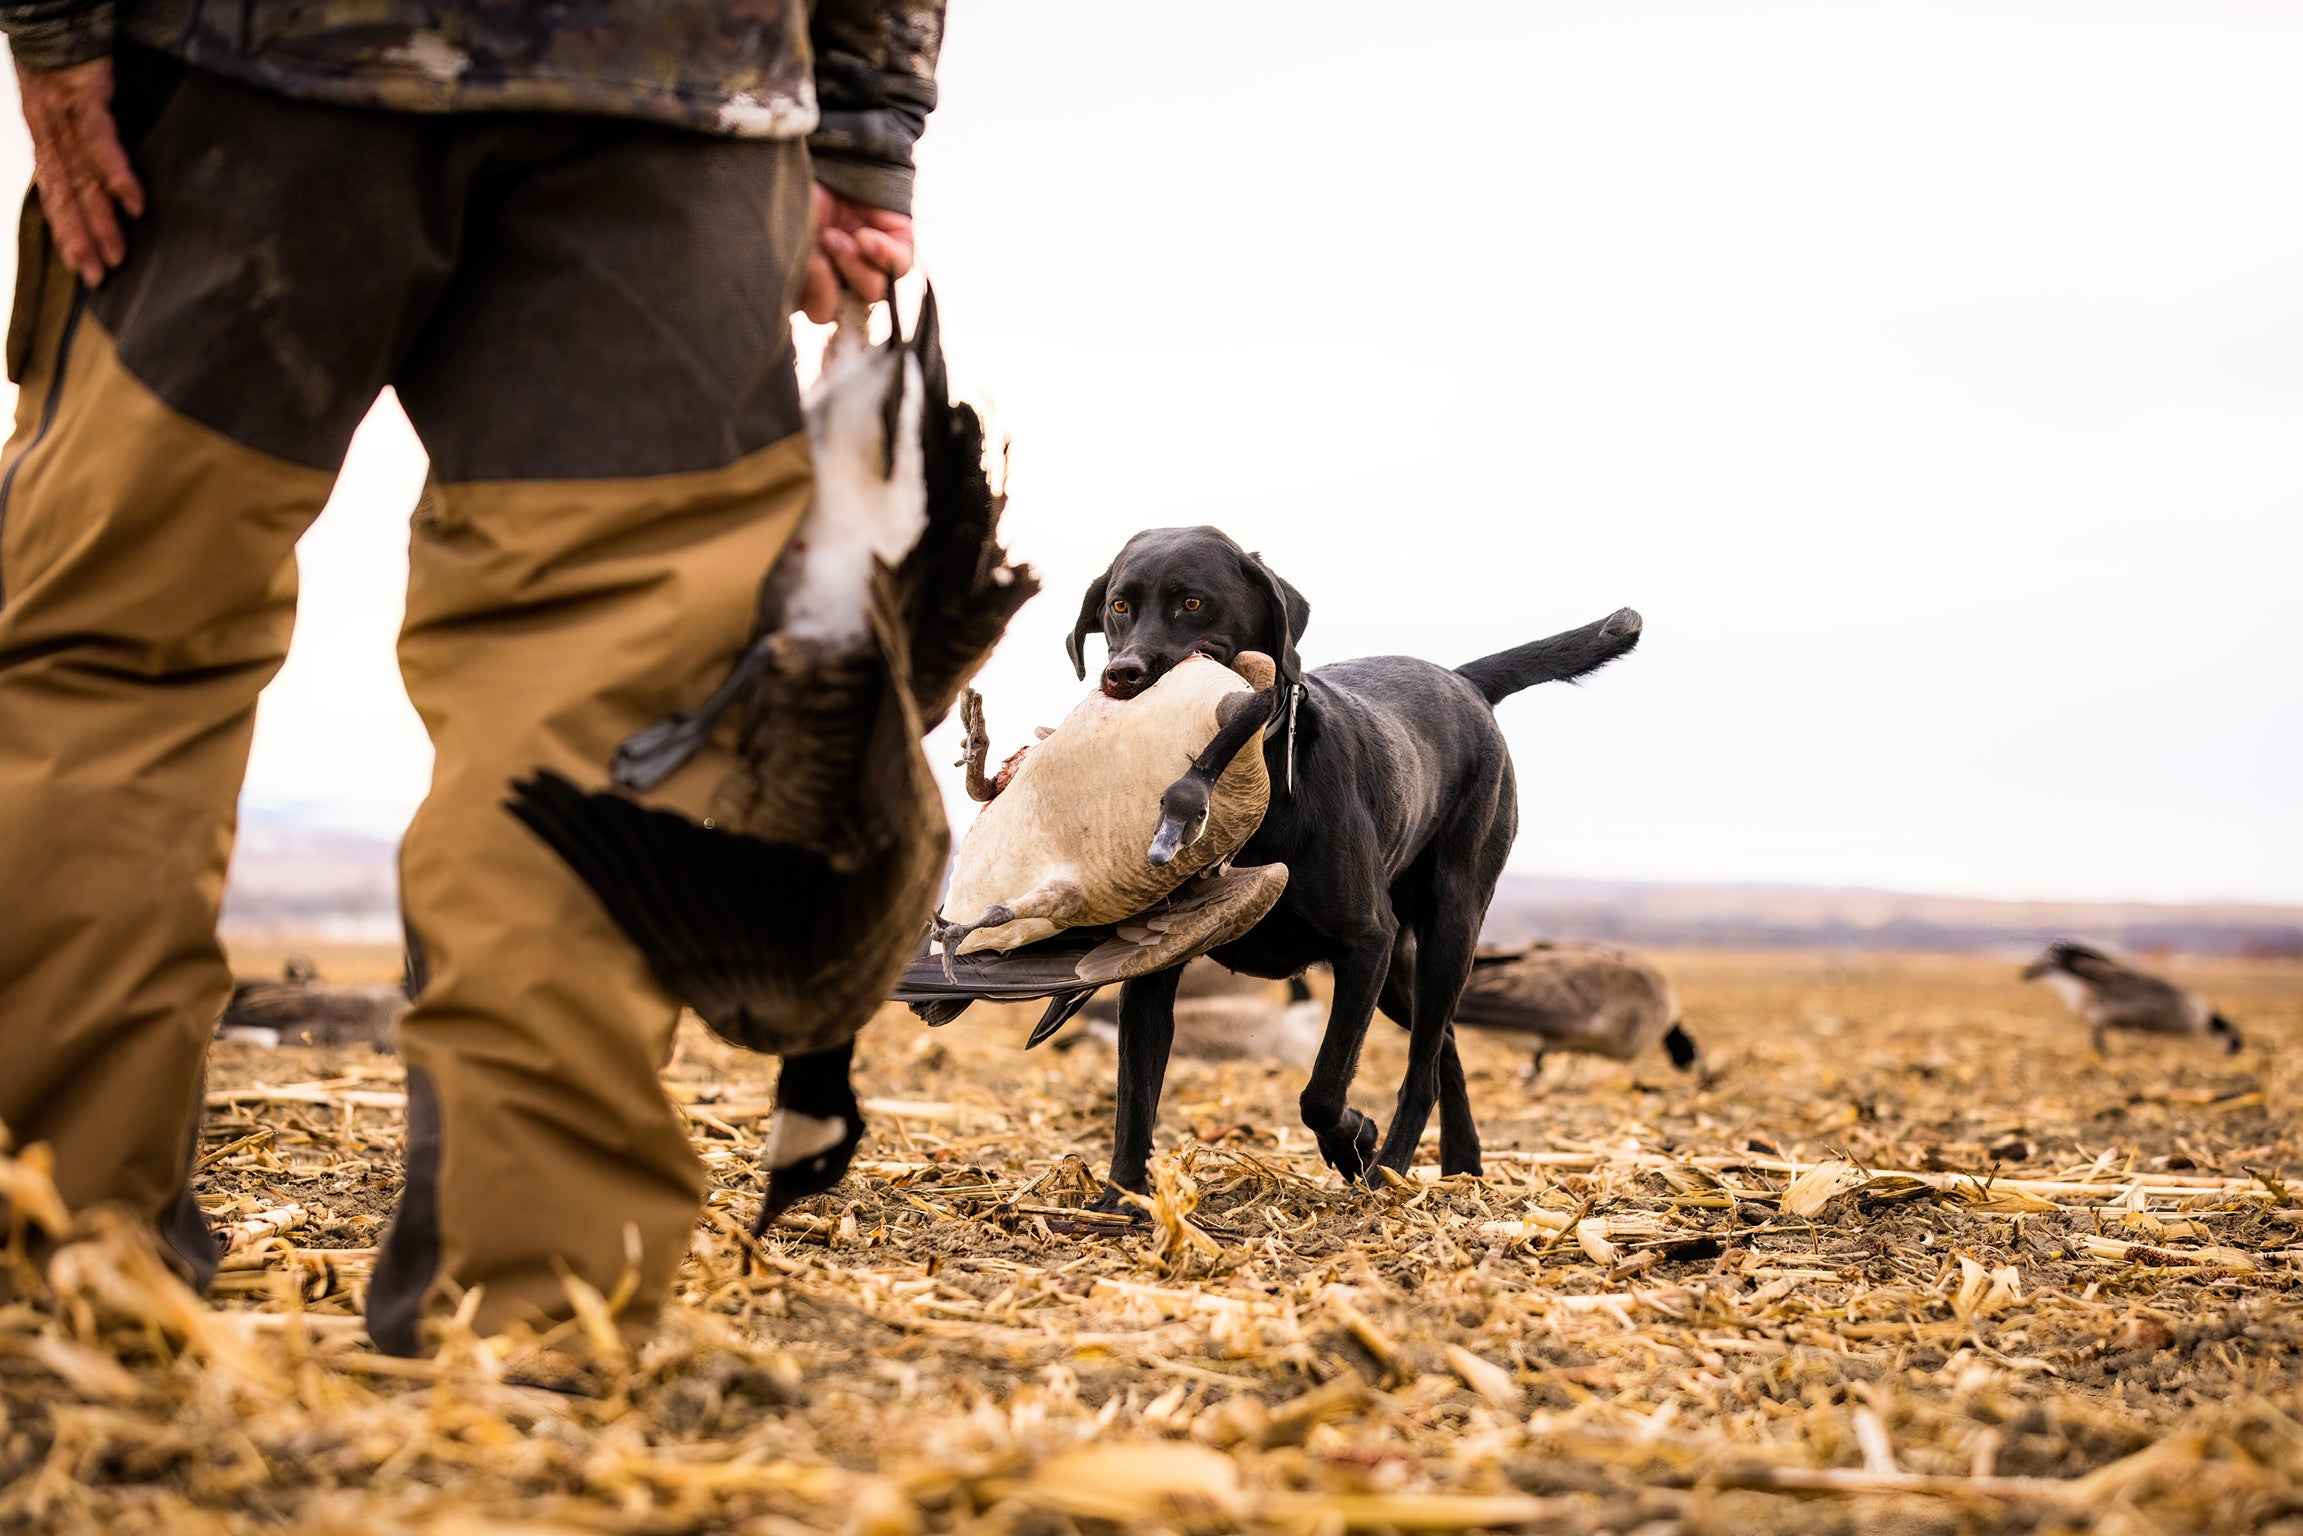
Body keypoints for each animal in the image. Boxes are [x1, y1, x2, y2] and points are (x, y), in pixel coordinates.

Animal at [1059, 522, 1639, 1206]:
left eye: (1192, 603)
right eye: (1119, 606)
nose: (1121, 674)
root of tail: (1464, 681)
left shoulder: (1364, 944)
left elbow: (1322, 1088)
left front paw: (1354, 1141)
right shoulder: (1156, 967)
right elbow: (1135, 1094)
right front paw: (1120, 1202)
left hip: (1450, 926)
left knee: (1423, 1069)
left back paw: (1389, 1167)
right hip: (1400, 974)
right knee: (1441, 1046)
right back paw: (1462, 1163)